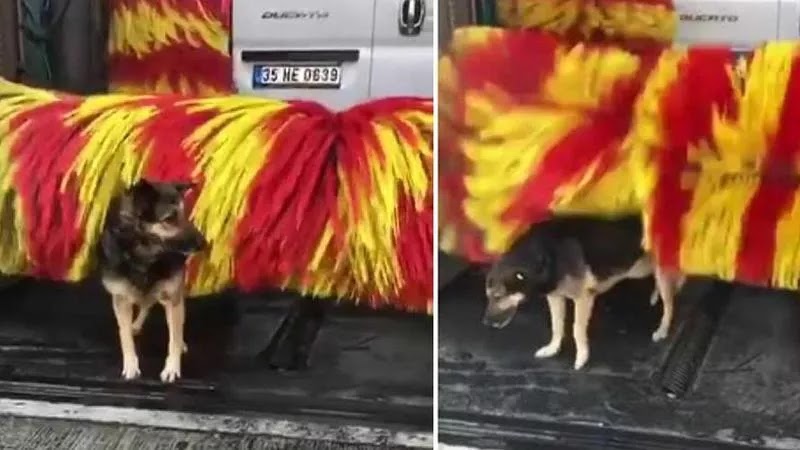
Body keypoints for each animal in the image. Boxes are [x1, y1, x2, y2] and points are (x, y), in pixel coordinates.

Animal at [97, 179, 206, 384]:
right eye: (169, 219)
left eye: (185, 213)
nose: (205, 244)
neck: (146, 254)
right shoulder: (121, 298)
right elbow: (124, 334)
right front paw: (131, 365)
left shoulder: (173, 297)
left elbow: (174, 337)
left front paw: (172, 368)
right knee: (145, 305)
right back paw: (136, 325)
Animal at [484, 216, 684, 370]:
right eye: (488, 296)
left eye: (498, 296)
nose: (485, 323)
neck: (545, 256)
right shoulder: (555, 296)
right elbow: (556, 325)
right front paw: (552, 348)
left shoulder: (583, 298)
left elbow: (576, 329)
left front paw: (581, 357)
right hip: (639, 267)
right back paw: (655, 296)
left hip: (656, 270)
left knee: (670, 304)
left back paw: (662, 329)